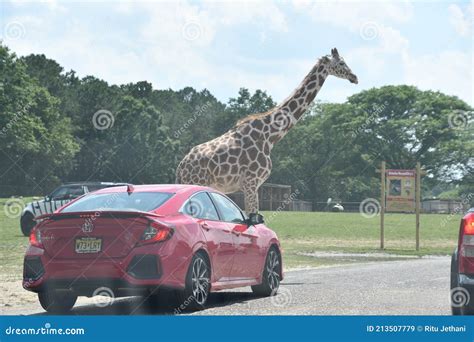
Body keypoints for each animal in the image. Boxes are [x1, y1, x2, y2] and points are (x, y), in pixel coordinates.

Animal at [176, 48, 358, 214]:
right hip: (199, 183)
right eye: (341, 63)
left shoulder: (251, 184)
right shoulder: (251, 182)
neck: (270, 135)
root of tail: (181, 167)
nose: (355, 77)